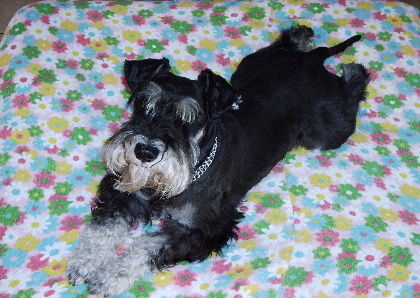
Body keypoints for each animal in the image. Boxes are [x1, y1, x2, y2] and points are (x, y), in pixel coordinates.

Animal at [67, 26, 370, 296]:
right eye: (143, 105)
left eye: (190, 119)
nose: (145, 152)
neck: (194, 168)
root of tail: (313, 60)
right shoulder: (121, 192)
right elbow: (103, 228)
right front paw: (85, 262)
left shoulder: (206, 229)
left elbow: (147, 247)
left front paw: (110, 276)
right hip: (247, 68)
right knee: (287, 43)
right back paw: (301, 36)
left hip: (328, 133)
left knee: (352, 91)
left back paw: (354, 70)